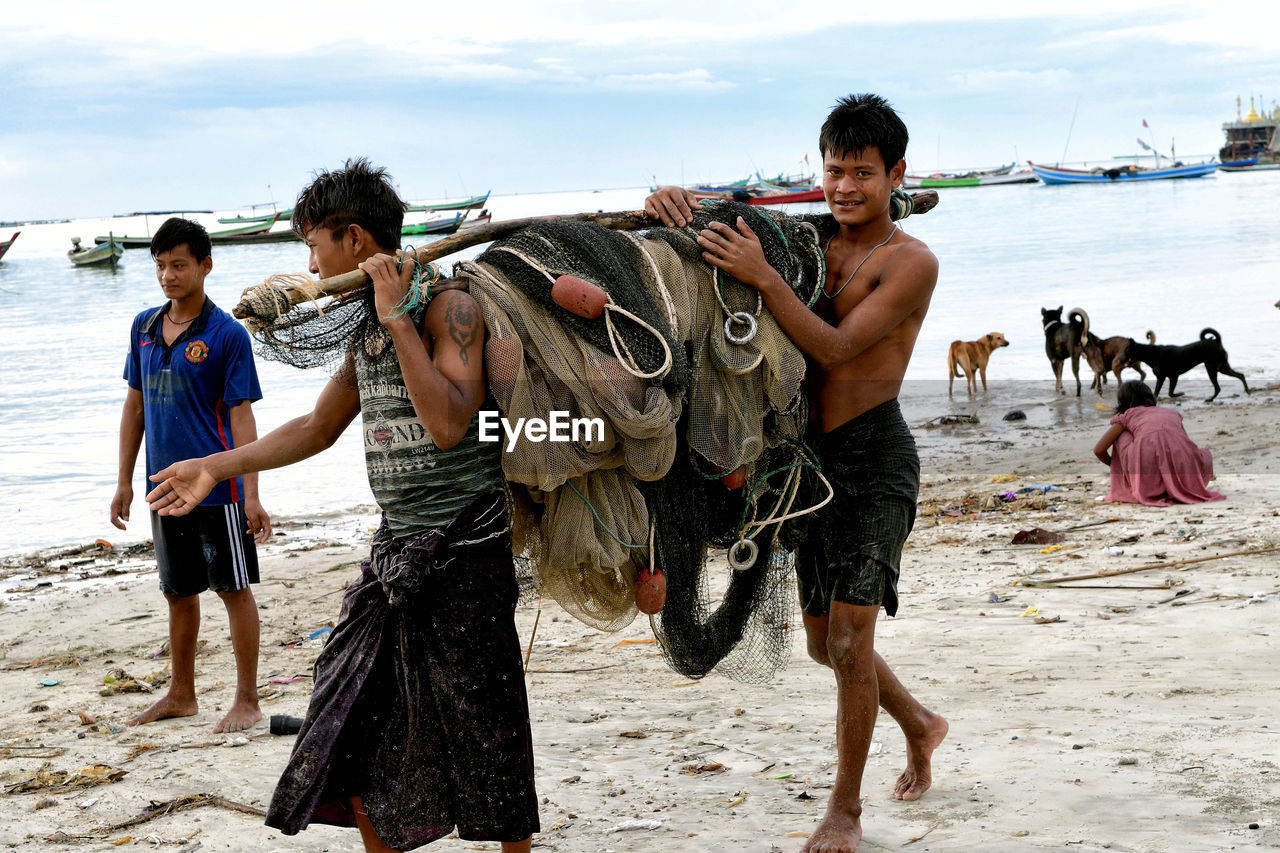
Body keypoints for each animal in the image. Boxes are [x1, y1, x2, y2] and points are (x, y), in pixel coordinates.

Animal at [1121, 327, 1249, 402]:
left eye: (1126, 351)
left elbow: (1170, 393)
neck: (1152, 354)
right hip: (1222, 367)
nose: (1120, 360)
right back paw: (1247, 390)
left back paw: (1211, 399)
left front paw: (1181, 394)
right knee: (1240, 375)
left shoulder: (1172, 376)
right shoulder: (1162, 378)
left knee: (1218, 387)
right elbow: (1157, 392)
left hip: (1211, 368)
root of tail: (1216, 341)